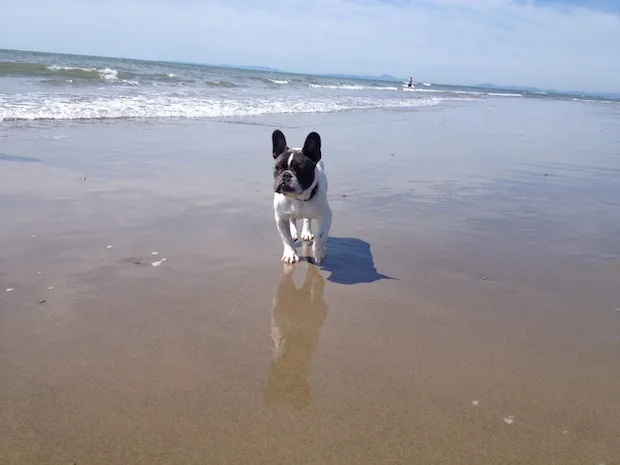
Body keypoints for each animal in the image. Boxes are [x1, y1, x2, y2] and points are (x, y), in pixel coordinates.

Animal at [270, 129, 332, 262]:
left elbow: (320, 236)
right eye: (277, 168)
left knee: (307, 219)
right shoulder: (280, 218)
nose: (286, 175)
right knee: (292, 219)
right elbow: (286, 238)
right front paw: (290, 253)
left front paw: (318, 252)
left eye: (300, 170)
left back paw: (306, 233)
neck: (297, 198)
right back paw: (294, 232)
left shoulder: (326, 216)